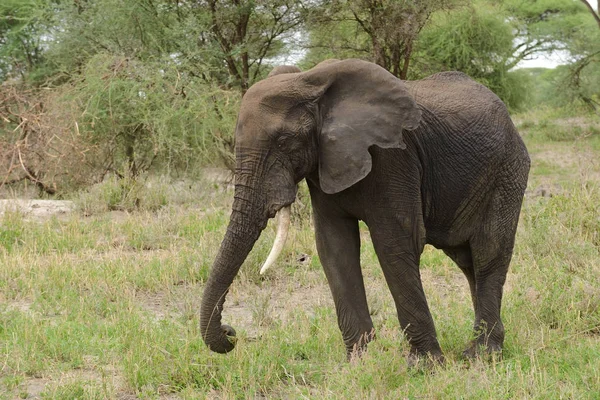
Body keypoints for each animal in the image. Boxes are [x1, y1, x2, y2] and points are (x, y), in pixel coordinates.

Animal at [202, 58, 528, 362]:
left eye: (284, 141)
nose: (231, 333)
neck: (310, 83)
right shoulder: (324, 163)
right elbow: (334, 246)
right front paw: (360, 362)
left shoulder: (394, 158)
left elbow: (395, 244)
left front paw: (424, 366)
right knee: (467, 260)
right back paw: (478, 347)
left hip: (507, 171)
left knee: (488, 252)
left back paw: (482, 354)